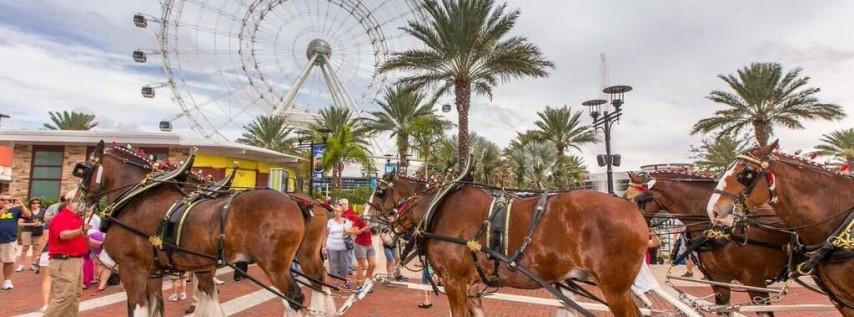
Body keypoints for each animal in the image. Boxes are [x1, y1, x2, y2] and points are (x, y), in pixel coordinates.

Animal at [76, 141, 310, 316]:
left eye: (83, 170)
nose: (79, 199)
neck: (136, 197)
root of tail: (295, 201)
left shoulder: (132, 269)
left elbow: (137, 309)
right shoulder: (156, 271)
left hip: (275, 267)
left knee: (295, 299)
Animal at [372, 175, 648, 316]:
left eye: (379, 192)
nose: (377, 225)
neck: (437, 207)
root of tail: (632, 208)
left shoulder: (454, 281)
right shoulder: (472, 285)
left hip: (614, 289)